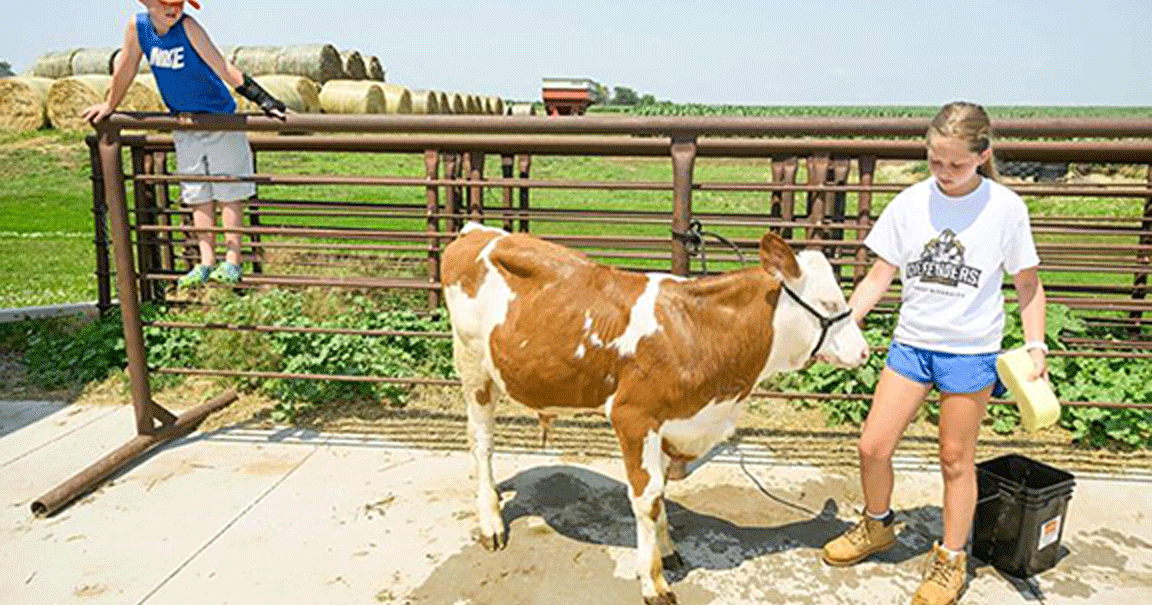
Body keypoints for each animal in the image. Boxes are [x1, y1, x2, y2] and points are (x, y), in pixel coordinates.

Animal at [440, 222, 869, 605]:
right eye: (830, 304)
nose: (864, 352)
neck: (698, 330)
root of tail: (480, 231)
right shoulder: (634, 417)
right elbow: (647, 499)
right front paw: (653, 583)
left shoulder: (670, 424)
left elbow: (661, 493)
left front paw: (666, 549)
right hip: (473, 368)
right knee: (482, 445)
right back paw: (491, 521)